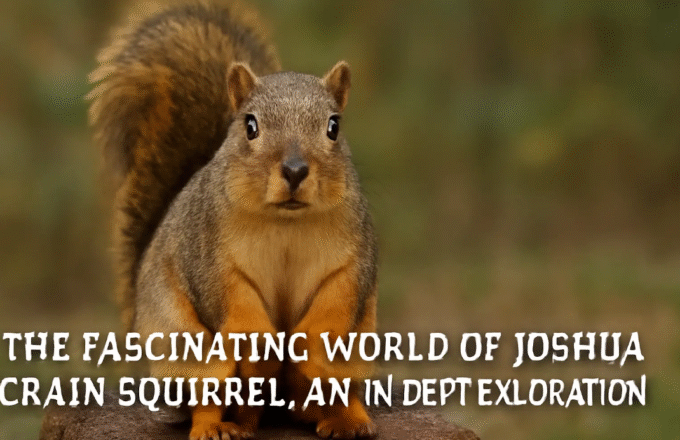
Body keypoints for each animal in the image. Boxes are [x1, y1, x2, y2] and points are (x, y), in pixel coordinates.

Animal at [88, 1, 378, 439]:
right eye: (250, 125)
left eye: (334, 126)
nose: (295, 170)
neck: (286, 223)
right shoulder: (209, 255)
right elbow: (234, 300)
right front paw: (264, 342)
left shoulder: (356, 254)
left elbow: (339, 297)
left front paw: (305, 343)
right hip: (187, 346)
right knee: (212, 396)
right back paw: (219, 426)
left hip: (360, 354)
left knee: (323, 397)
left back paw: (348, 419)